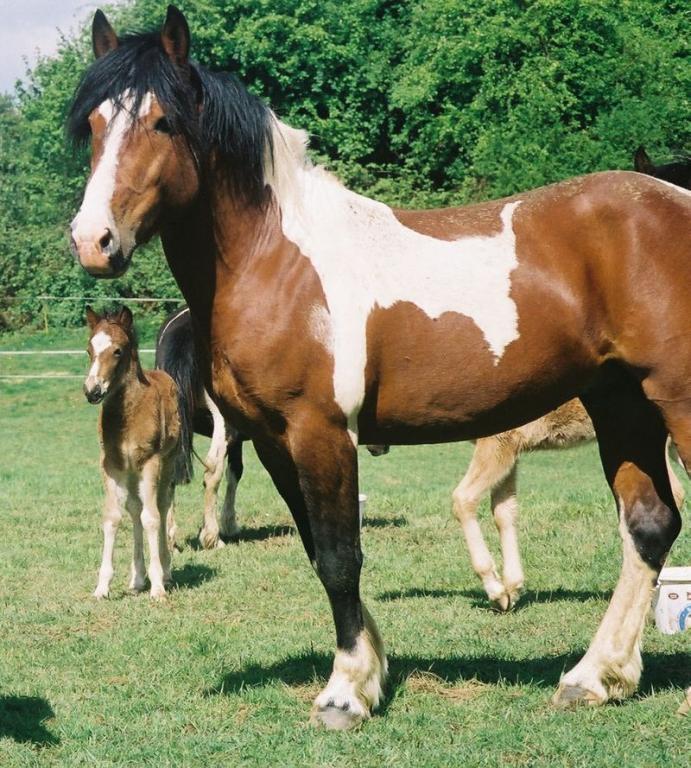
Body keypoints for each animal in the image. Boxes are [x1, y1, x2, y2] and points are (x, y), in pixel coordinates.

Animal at [84, 305, 181, 600]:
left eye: (118, 351)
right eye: (89, 349)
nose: (92, 391)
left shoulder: (150, 461)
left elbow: (152, 518)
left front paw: (158, 587)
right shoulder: (112, 465)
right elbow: (113, 517)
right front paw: (102, 588)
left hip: (167, 462)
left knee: (161, 505)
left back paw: (166, 571)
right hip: (130, 471)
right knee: (135, 509)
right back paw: (138, 578)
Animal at [454, 149, 691, 611]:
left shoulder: (497, 446)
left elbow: (465, 500)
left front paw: (494, 586)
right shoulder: (510, 450)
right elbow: (504, 510)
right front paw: (512, 588)